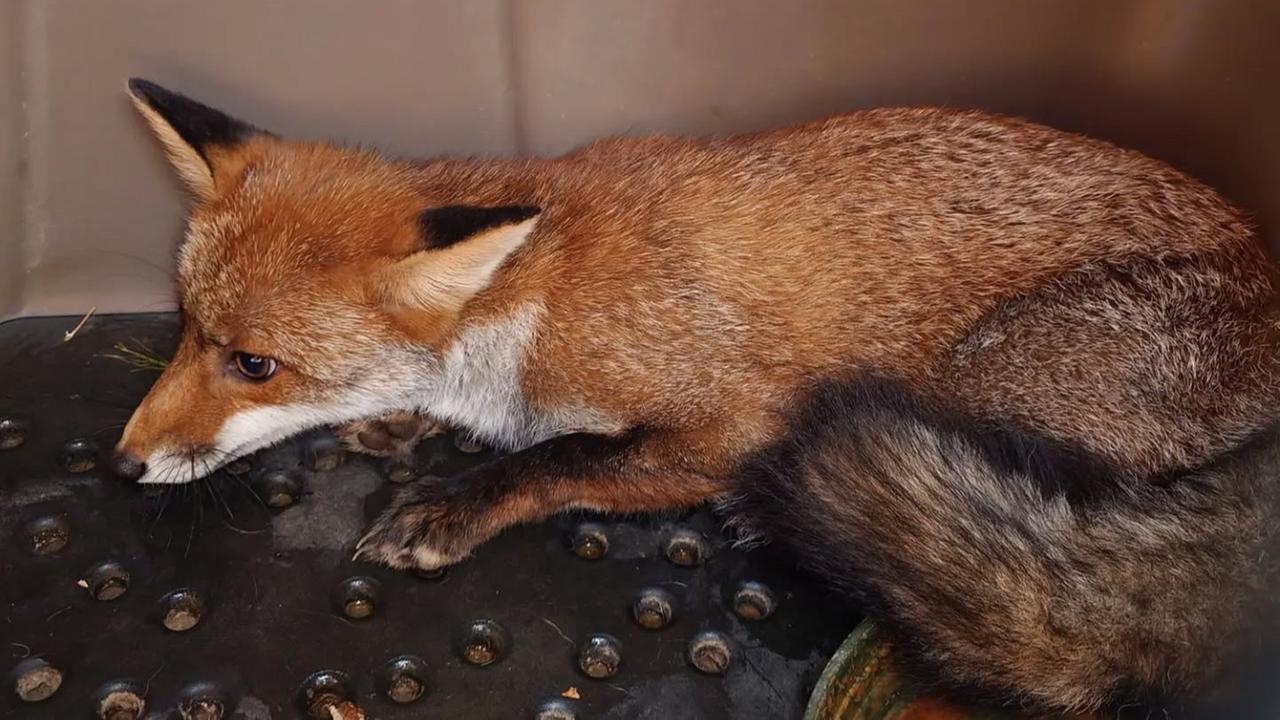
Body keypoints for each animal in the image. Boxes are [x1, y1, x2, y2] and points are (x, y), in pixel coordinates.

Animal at [113, 78, 1280, 714]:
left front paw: (454, 502)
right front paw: (396, 420)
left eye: (254, 363)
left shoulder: (742, 413)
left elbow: (562, 457)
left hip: (960, 386)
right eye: (185, 328)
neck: (534, 293)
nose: (124, 464)